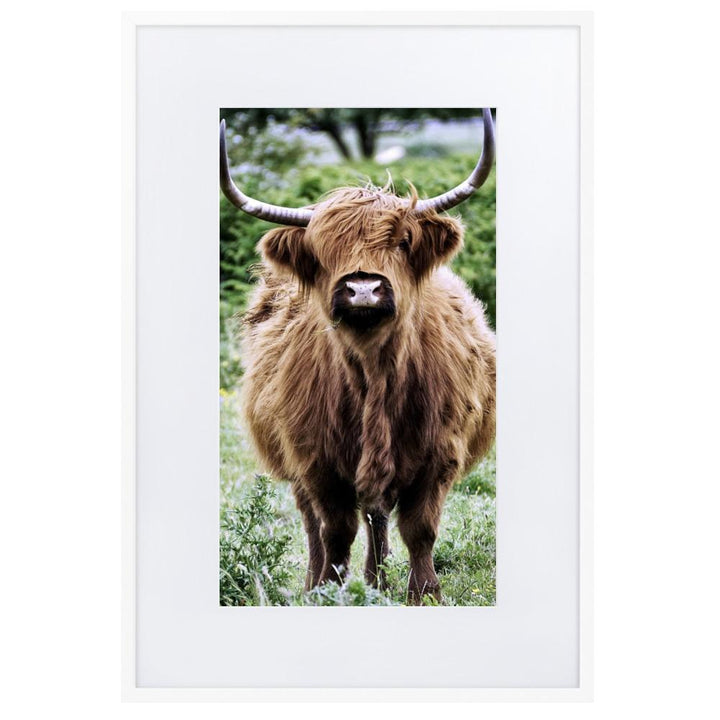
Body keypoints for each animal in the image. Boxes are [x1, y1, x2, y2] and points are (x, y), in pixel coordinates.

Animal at [219, 110, 496, 603]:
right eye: (323, 249)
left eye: (403, 242)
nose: (363, 288)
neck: (374, 373)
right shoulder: (315, 460)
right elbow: (334, 529)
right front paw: (330, 588)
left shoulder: (440, 455)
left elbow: (419, 529)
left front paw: (424, 593)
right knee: (317, 522)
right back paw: (321, 583)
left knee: (377, 514)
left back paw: (377, 580)